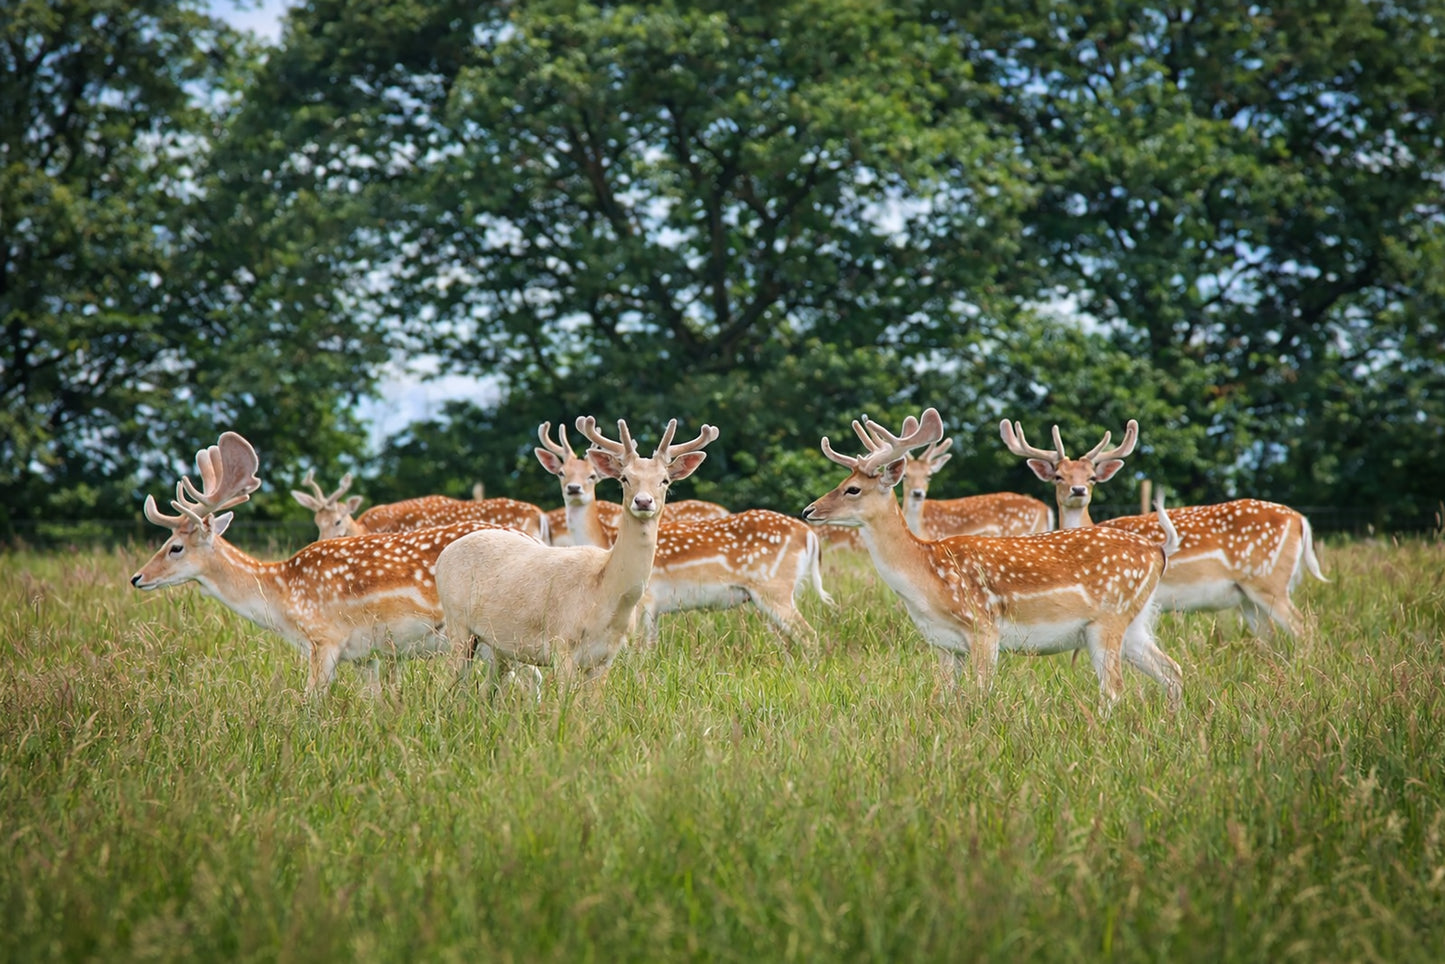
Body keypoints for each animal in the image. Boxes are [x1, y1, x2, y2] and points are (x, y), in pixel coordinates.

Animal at [130, 432, 505, 695]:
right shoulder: (365, 655)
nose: (137, 577)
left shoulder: (325, 638)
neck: (281, 596)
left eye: (175, 547)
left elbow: (309, 702)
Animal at [438, 416, 718, 692]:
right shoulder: (561, 641)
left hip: (499, 645)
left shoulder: (606, 657)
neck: (604, 594)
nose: (643, 501)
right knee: (454, 685)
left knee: (486, 689)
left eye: (665, 480)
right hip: (456, 622)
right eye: (625, 478)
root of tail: (445, 553)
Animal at [535, 421, 831, 645]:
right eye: (625, 478)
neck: (604, 542)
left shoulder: (646, 600)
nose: (643, 501)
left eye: (664, 480)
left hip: (774, 587)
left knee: (810, 636)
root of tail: (809, 535)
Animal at [901, 435, 1053, 538]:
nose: (917, 493)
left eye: (928, 476)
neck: (921, 529)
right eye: (905, 475)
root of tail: (1044, 508)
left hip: (1016, 530)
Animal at [1000, 418, 1327, 637]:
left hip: (1269, 581)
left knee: (1304, 627)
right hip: (1249, 596)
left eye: (1092, 476)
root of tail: (1300, 519)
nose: (1078, 490)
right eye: (1058, 476)